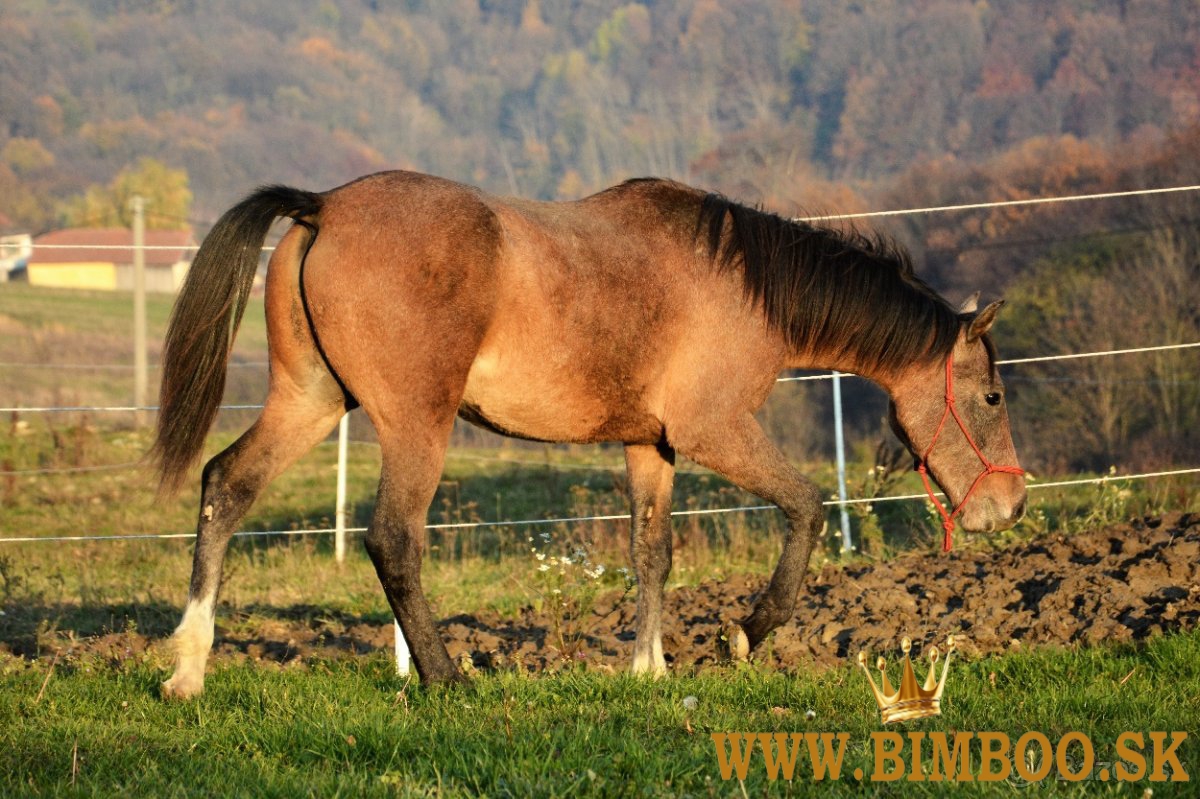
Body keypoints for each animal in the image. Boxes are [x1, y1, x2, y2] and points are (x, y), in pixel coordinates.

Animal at [154, 171, 1027, 695]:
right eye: (990, 395)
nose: (1011, 505)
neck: (747, 285)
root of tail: (324, 202)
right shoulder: (714, 431)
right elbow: (806, 508)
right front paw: (744, 632)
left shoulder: (653, 445)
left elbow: (652, 551)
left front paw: (649, 666)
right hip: (414, 424)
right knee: (392, 537)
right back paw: (446, 677)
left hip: (310, 399)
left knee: (225, 485)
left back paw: (188, 667)